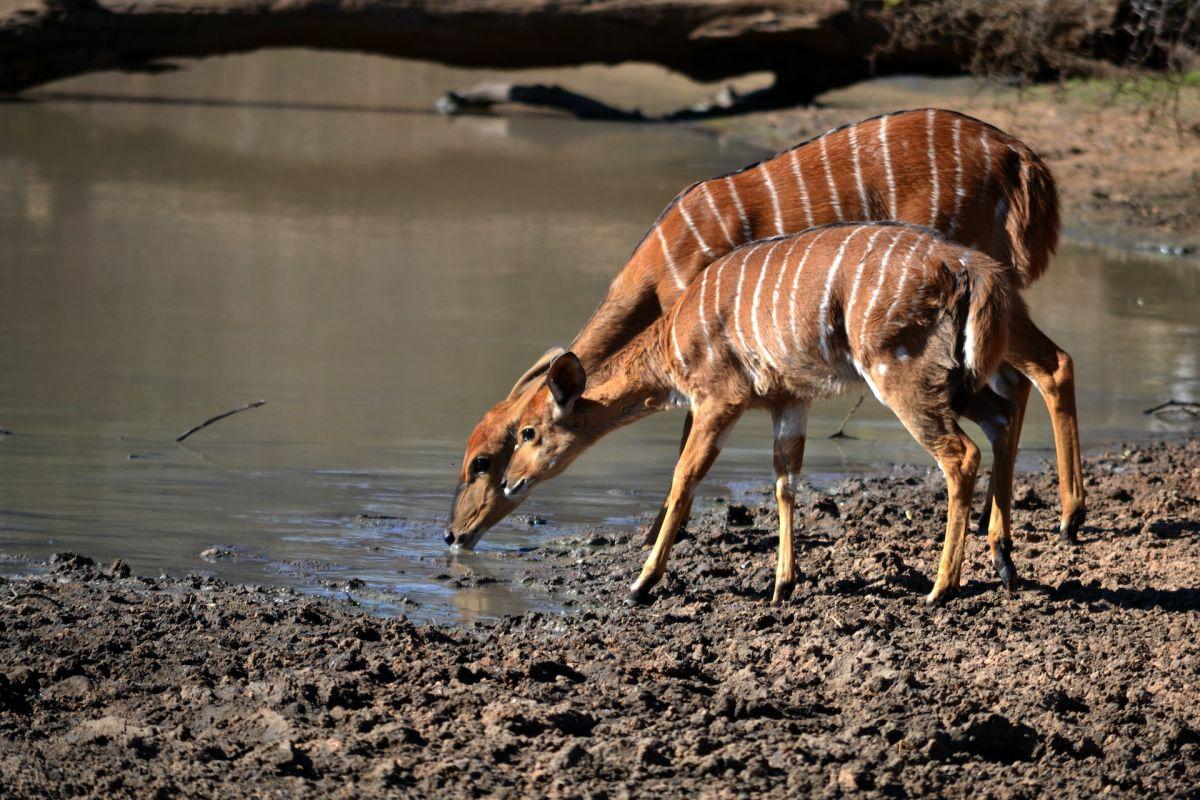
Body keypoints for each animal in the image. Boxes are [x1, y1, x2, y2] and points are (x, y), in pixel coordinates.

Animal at [446, 107, 1084, 556]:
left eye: (484, 459)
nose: (453, 535)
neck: (663, 266)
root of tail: (1023, 160)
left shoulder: (711, 355)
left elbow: (688, 444)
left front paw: (655, 536)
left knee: (1050, 366)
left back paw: (1069, 517)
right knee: (1019, 384)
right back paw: (1003, 534)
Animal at [501, 221, 1017, 604]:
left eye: (527, 432)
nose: (509, 482)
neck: (673, 340)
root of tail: (971, 268)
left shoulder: (719, 397)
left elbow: (684, 476)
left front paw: (641, 583)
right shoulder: (787, 400)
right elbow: (785, 481)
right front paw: (782, 586)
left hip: (903, 374)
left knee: (962, 454)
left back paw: (941, 588)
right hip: (957, 380)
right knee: (1004, 417)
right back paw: (1004, 563)